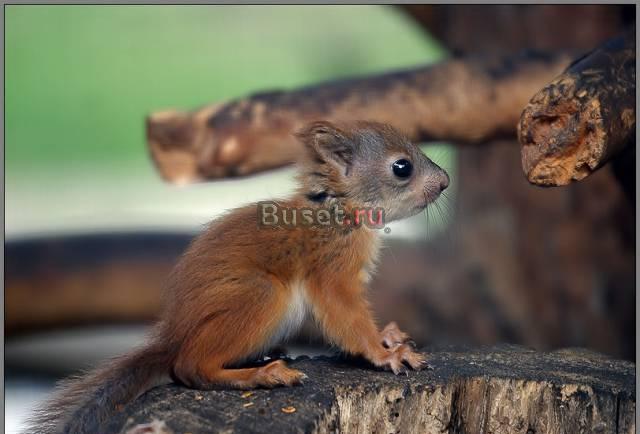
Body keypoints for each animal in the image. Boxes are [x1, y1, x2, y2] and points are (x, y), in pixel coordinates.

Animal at [27, 120, 449, 434]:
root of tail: (175, 335)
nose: (445, 181)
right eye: (402, 167)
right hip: (260, 295)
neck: (339, 209)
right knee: (190, 368)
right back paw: (261, 376)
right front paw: (384, 353)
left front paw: (390, 336)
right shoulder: (332, 271)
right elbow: (346, 317)